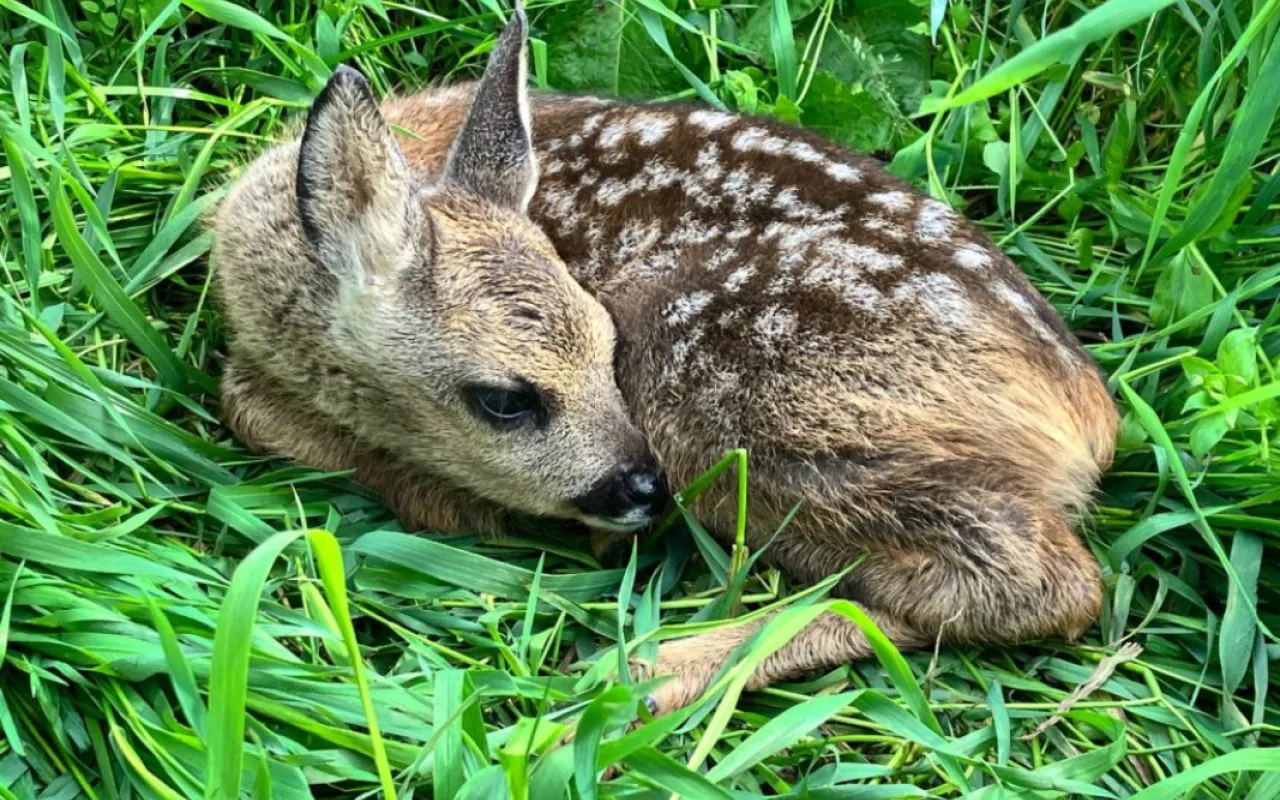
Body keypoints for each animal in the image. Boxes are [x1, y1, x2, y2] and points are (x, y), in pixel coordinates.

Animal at [207, 4, 1111, 716]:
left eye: (604, 348)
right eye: (503, 399)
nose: (640, 488)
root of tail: (1085, 413)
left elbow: (242, 404)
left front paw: (448, 500)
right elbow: (240, 397)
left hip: (720, 377)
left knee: (1049, 583)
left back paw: (639, 671)